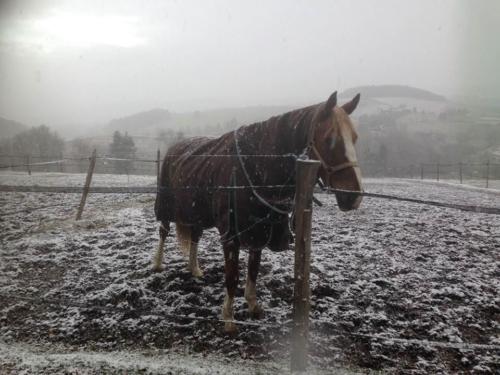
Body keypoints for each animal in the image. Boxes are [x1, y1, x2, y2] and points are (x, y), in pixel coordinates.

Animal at [153, 91, 364, 332]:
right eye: (330, 139)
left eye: (355, 138)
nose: (354, 196)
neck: (256, 167)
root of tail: (174, 147)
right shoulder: (231, 235)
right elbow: (232, 276)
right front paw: (228, 318)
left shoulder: (259, 231)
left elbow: (254, 269)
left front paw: (253, 305)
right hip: (167, 205)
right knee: (163, 231)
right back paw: (157, 264)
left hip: (196, 213)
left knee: (195, 236)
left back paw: (194, 269)